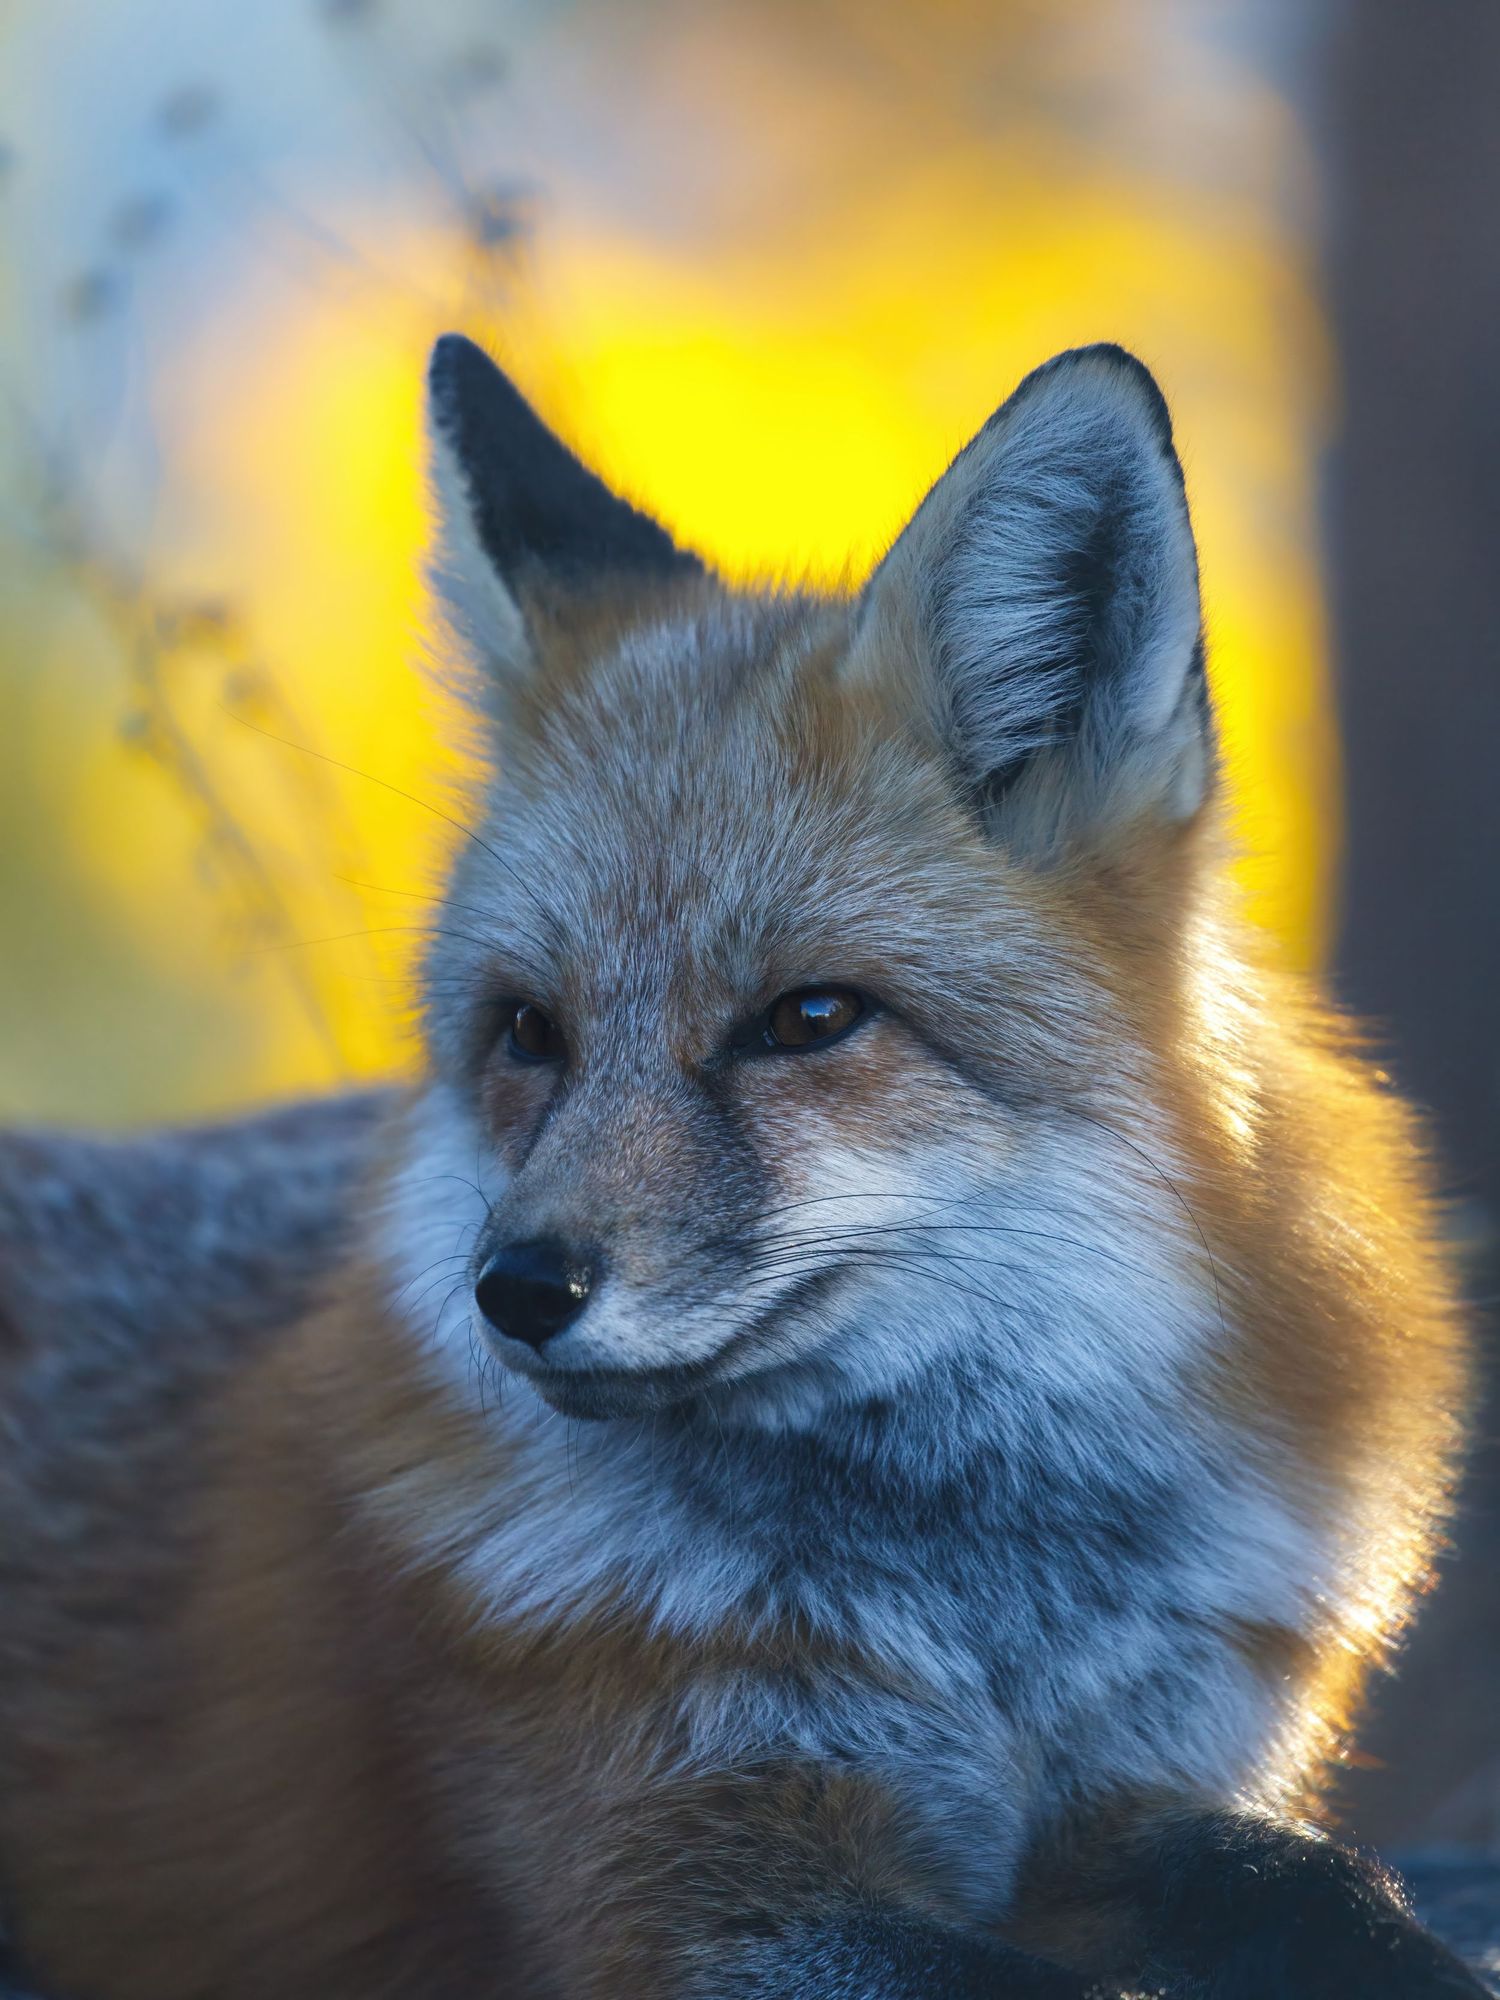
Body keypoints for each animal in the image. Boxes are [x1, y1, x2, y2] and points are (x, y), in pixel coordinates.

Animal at [0, 333, 1487, 1999]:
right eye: (531, 1033)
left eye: (809, 1019)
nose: (516, 1290)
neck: (990, 1621)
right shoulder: (689, 1889)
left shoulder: (1134, 1799)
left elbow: (1329, 1889)